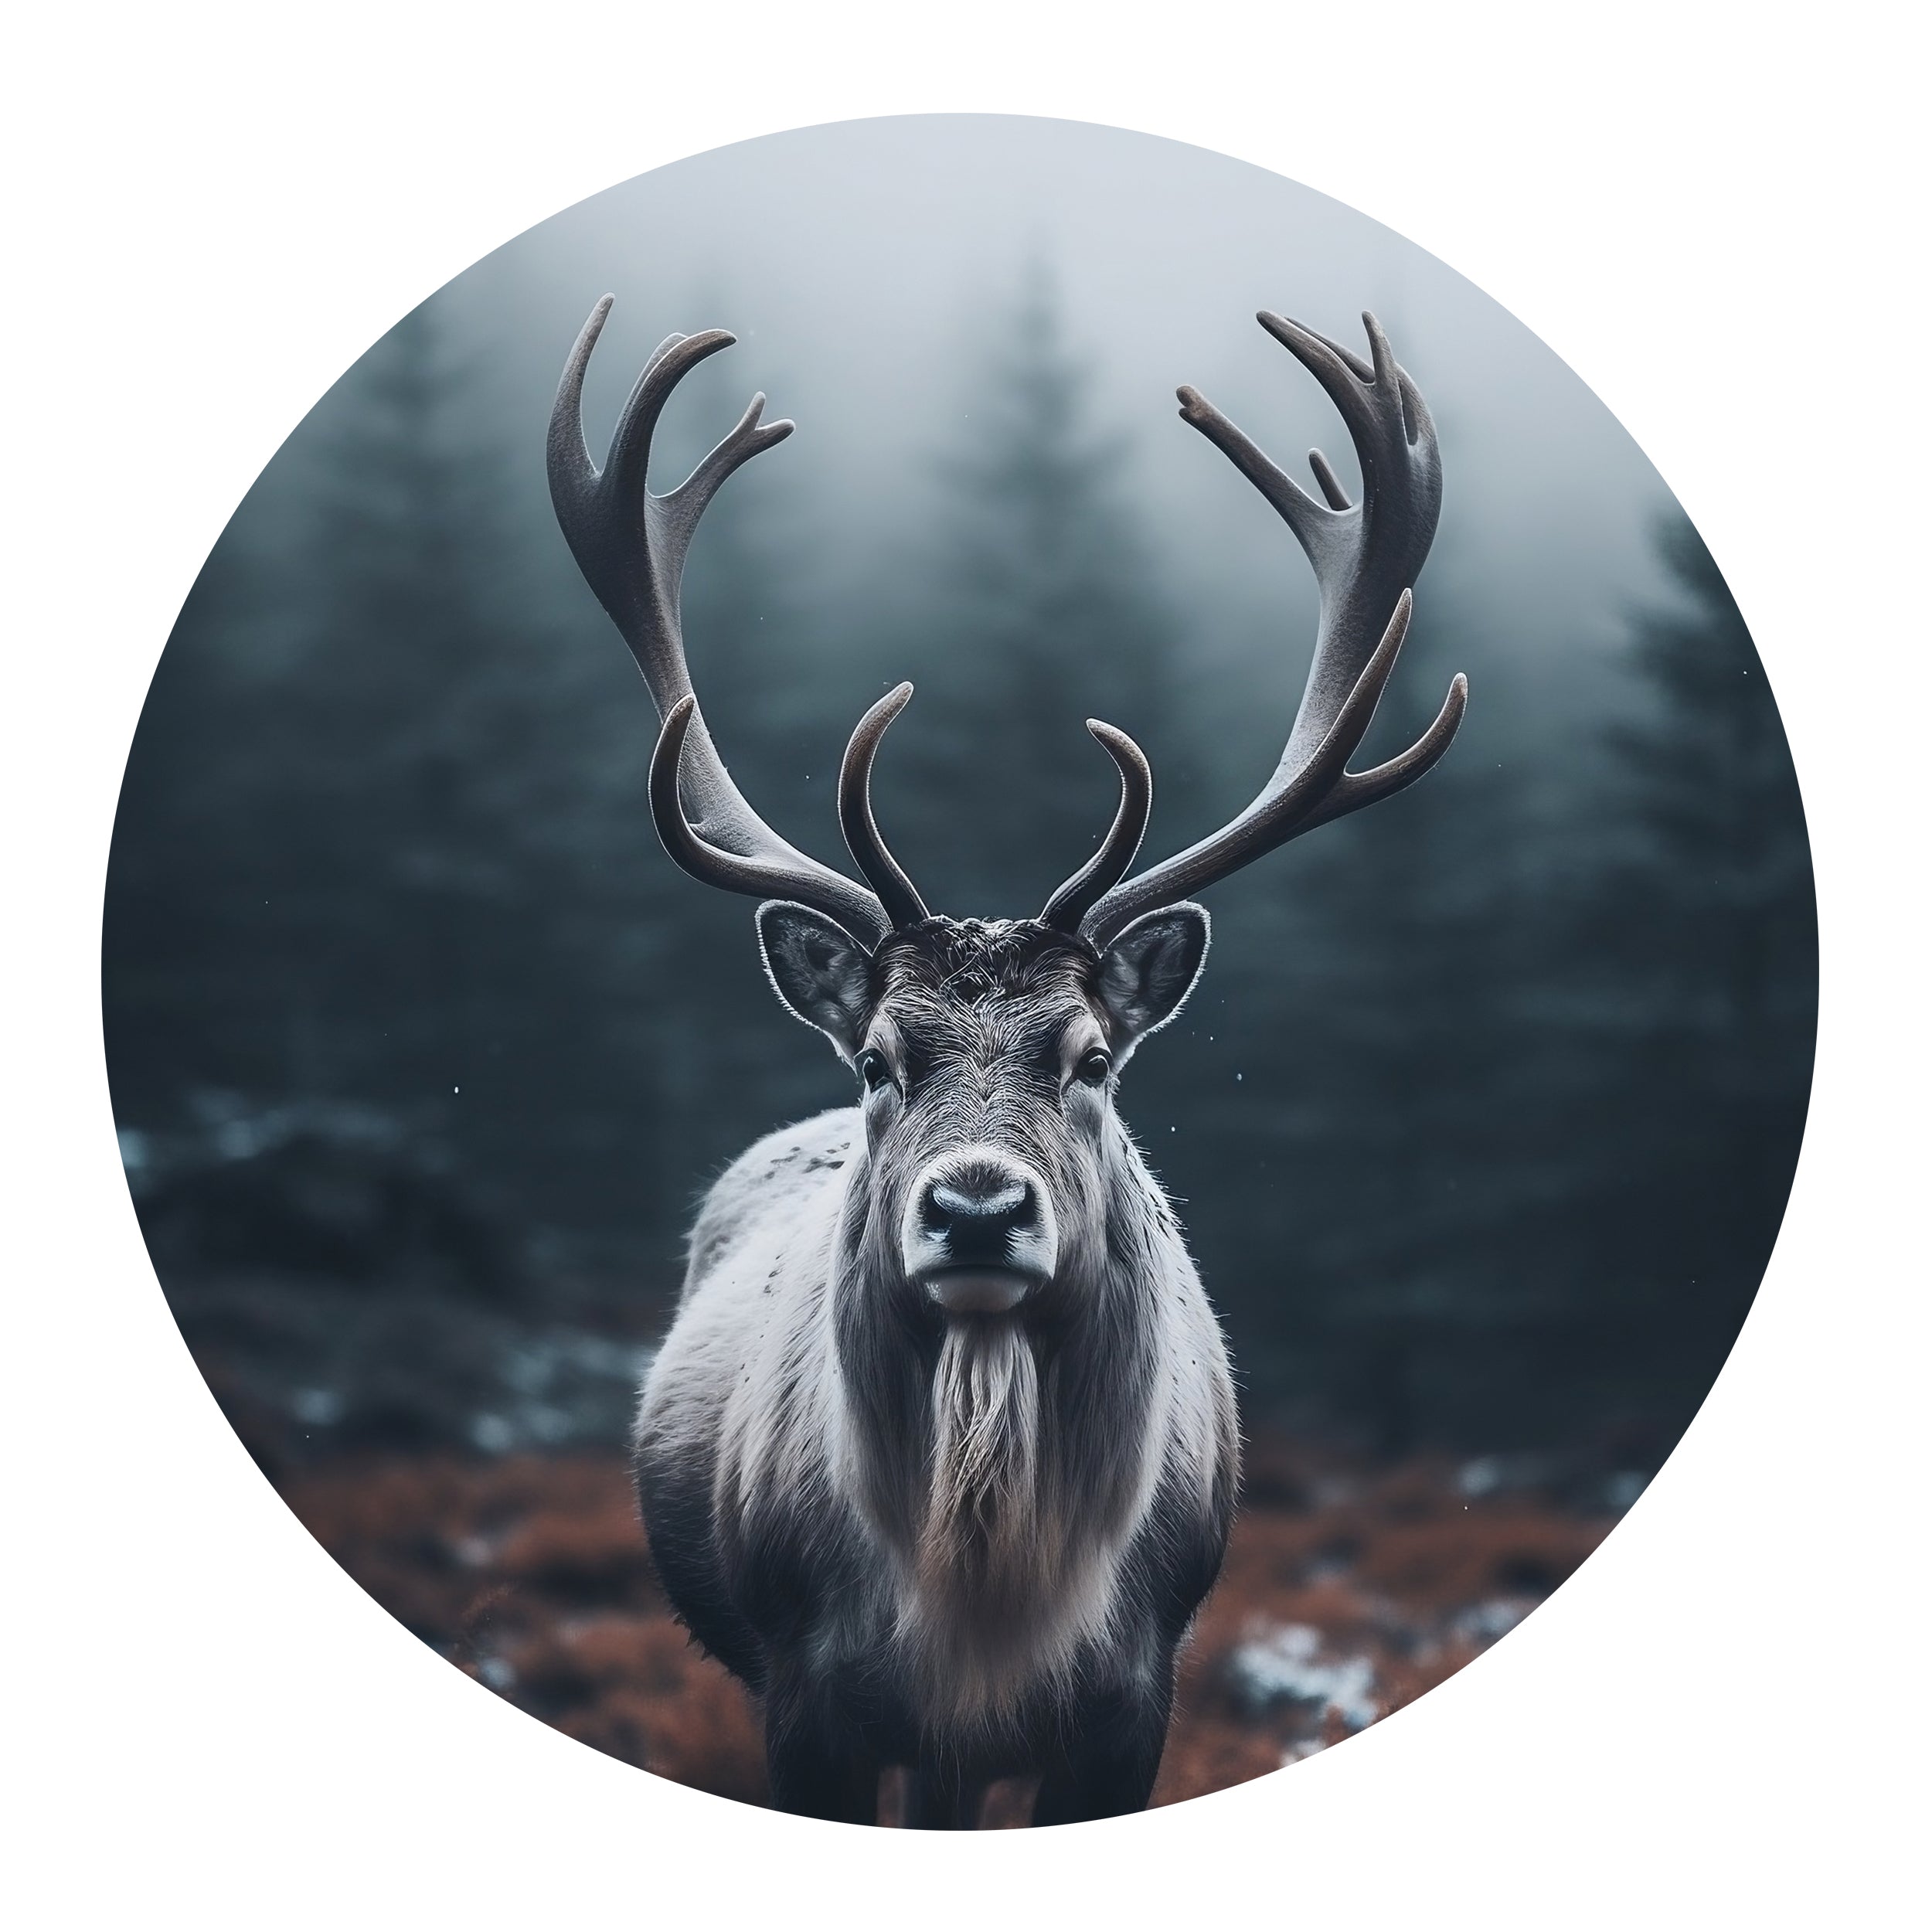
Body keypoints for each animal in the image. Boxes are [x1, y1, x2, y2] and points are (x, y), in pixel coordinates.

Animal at [546, 293, 1463, 1826]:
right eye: (877, 1058)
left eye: (1091, 1058)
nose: (977, 1209)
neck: (983, 1604)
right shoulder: (803, 1693)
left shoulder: (1133, 1700)